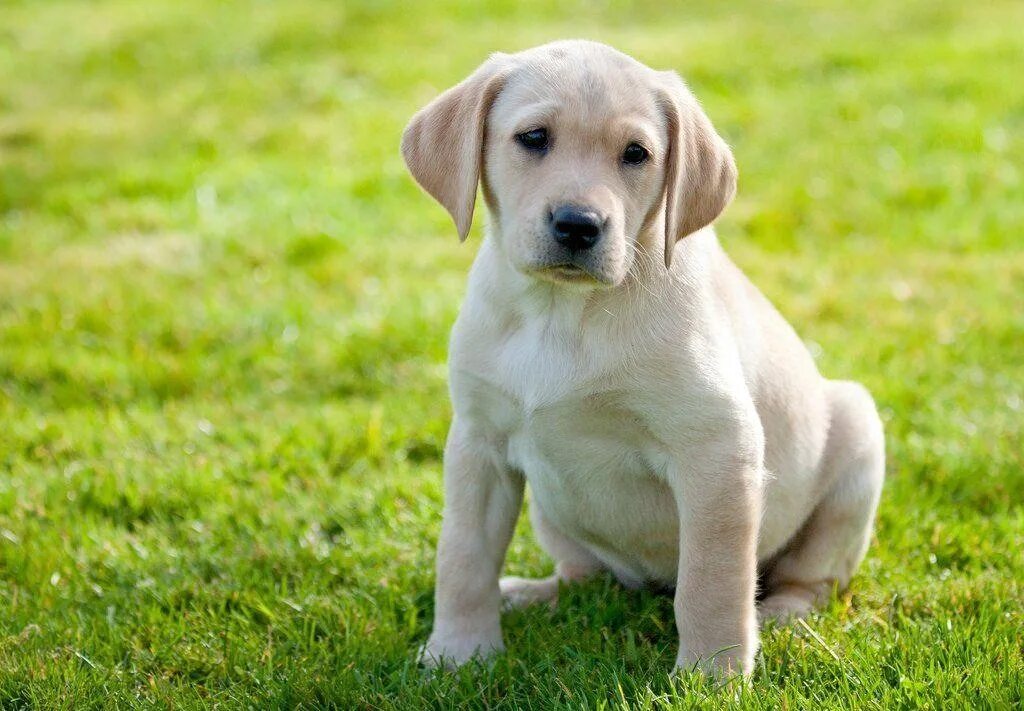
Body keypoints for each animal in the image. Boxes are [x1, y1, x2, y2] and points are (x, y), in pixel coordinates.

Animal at [399, 38, 880, 680]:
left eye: (636, 154)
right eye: (533, 138)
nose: (578, 224)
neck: (563, 311)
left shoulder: (717, 449)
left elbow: (711, 581)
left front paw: (711, 675)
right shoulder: (479, 444)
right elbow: (462, 557)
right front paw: (458, 652)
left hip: (857, 436)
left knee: (811, 578)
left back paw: (782, 614)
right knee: (585, 576)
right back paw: (532, 594)